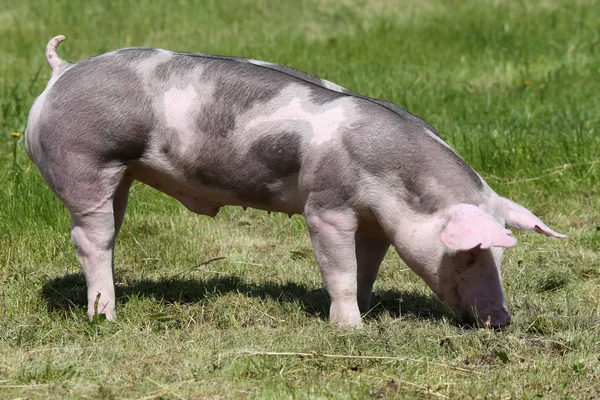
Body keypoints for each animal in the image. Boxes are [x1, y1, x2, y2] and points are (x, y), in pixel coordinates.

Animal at [24, 34, 568, 328]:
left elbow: (366, 267)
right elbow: (338, 268)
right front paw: (351, 329)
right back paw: (105, 315)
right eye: (470, 253)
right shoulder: (326, 207)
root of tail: (61, 73)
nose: (501, 320)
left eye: (500, 254)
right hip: (86, 163)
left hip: (121, 176)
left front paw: (366, 309)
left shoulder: (376, 222)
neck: (397, 183)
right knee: (90, 239)